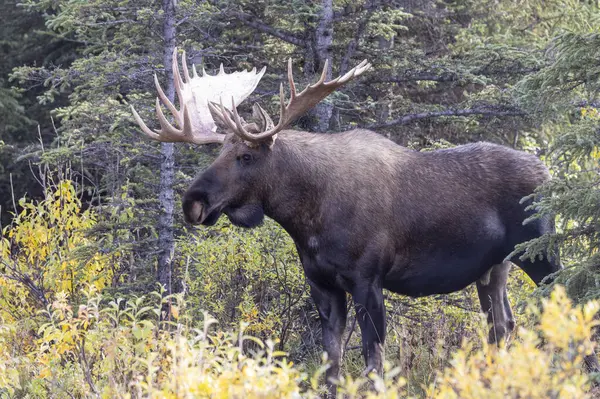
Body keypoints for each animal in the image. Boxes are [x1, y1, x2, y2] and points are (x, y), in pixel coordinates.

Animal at [132, 48, 568, 392]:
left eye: (246, 156)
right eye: (218, 152)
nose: (193, 202)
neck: (306, 220)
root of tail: (547, 171)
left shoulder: (368, 279)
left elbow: (374, 364)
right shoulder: (322, 285)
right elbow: (332, 366)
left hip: (541, 253)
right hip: (495, 268)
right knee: (502, 325)